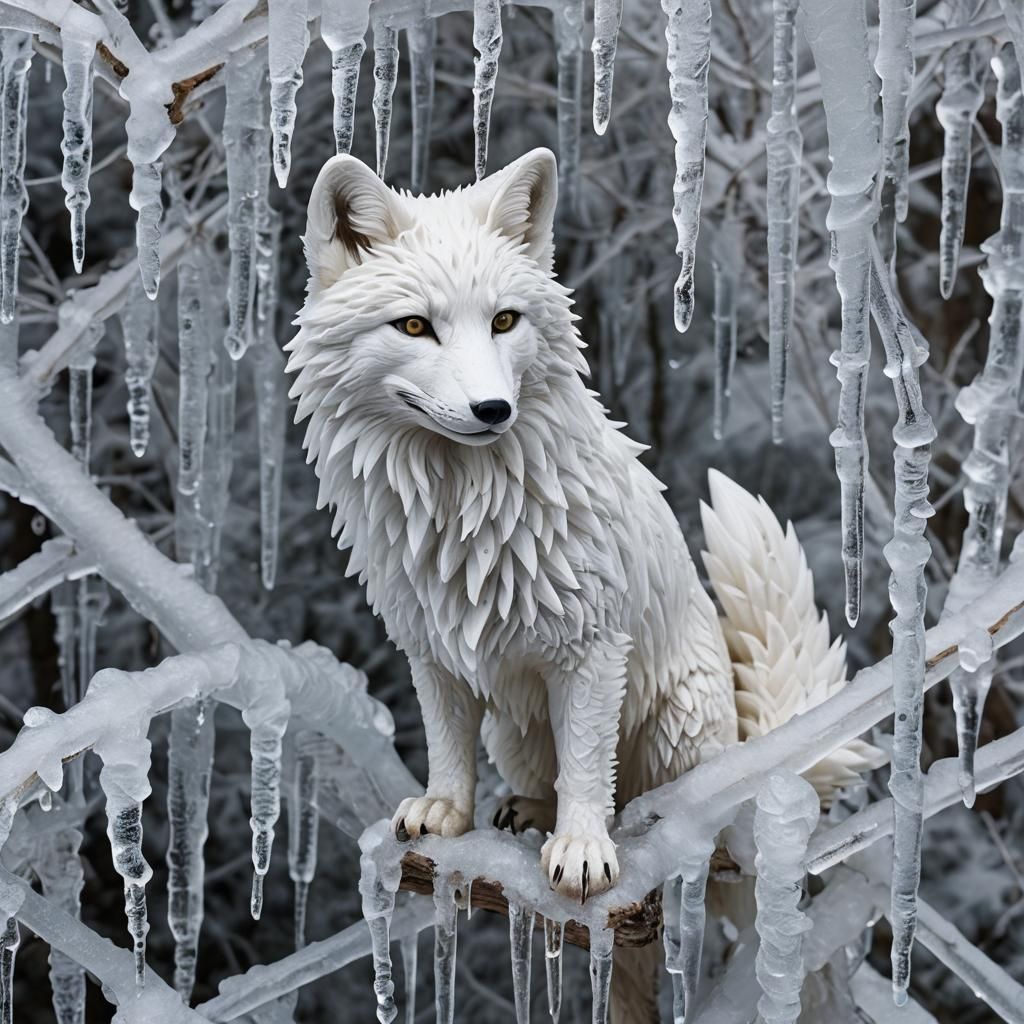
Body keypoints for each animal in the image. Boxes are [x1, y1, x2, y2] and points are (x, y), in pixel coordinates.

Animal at [286, 148, 882, 1021]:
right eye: (415, 326)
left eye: (504, 321)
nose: (492, 409)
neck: (462, 504)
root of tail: (753, 751)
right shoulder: (431, 649)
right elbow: (447, 746)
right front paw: (444, 815)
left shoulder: (592, 650)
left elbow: (587, 768)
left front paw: (581, 852)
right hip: (515, 728)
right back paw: (523, 810)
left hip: (680, 731)